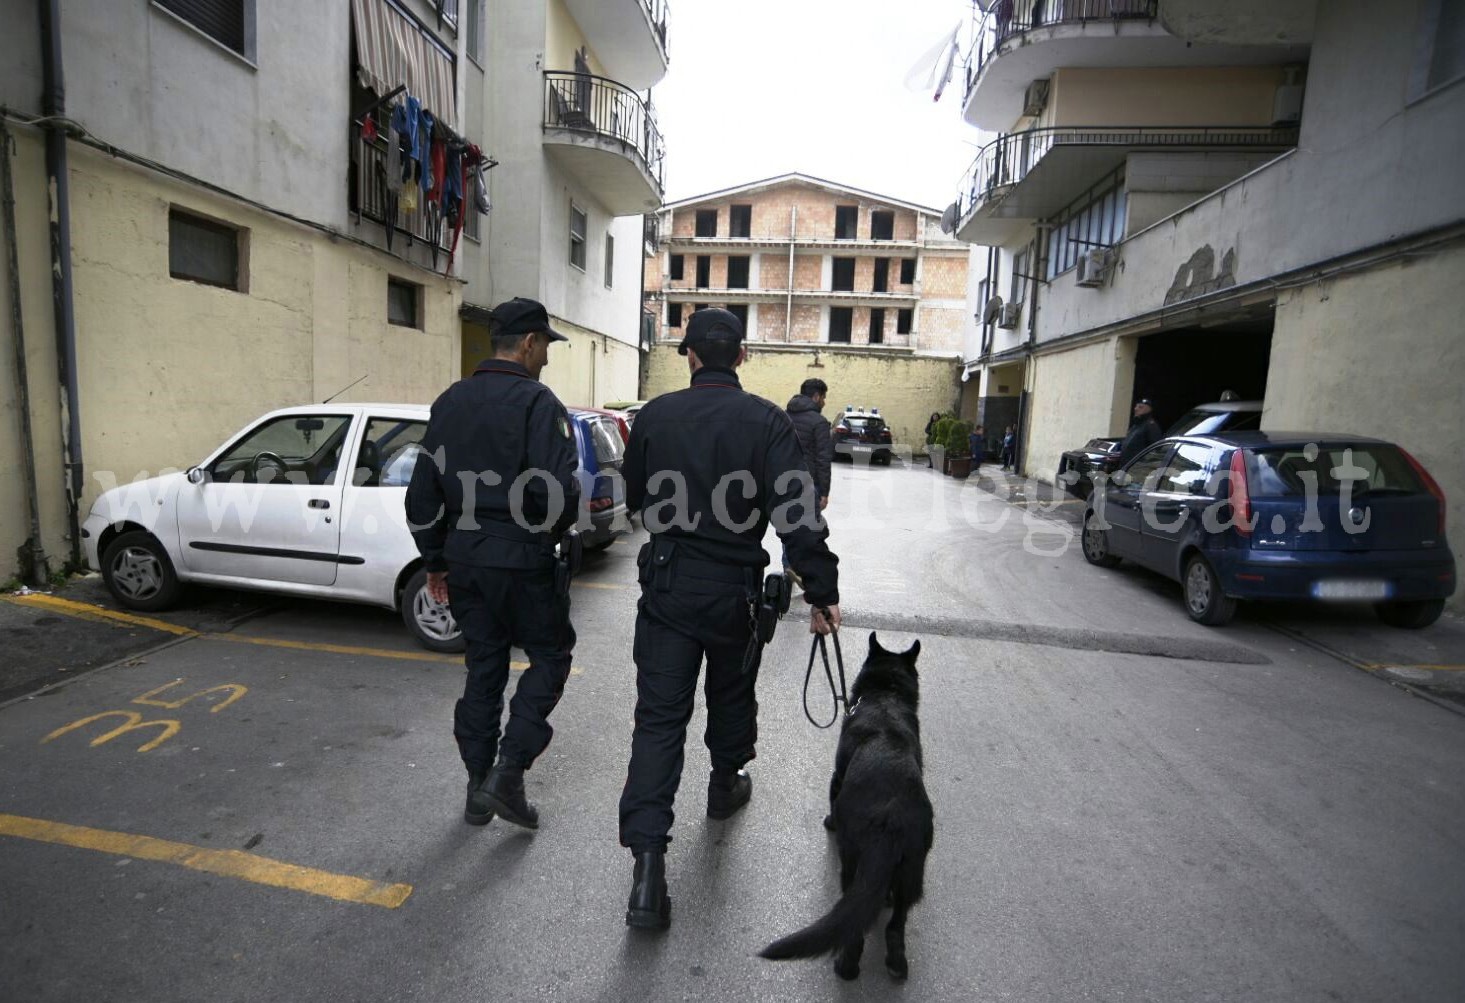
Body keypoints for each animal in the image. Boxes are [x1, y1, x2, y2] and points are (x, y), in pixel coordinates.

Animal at [761, 632, 931, 978]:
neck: (886, 696)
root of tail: (892, 818)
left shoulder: (836, 778)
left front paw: (829, 822)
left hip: (852, 863)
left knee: (855, 930)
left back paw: (846, 967)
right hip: (911, 873)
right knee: (895, 926)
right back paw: (896, 963)